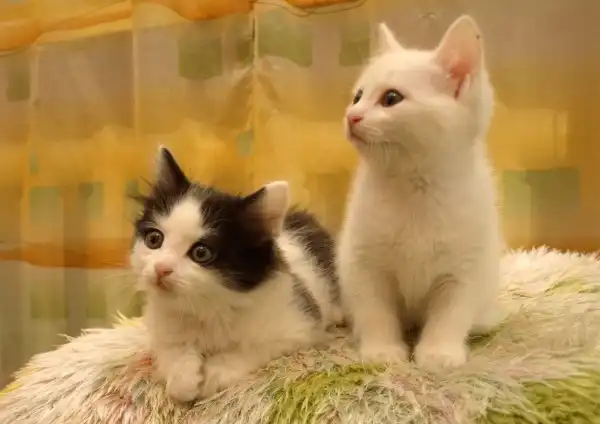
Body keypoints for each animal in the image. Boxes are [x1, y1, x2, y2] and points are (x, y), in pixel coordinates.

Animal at [130, 147, 341, 402]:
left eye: (201, 253)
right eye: (154, 240)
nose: (161, 268)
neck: (206, 307)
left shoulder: (300, 327)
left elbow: (252, 348)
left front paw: (216, 371)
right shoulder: (160, 328)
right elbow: (170, 351)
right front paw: (184, 378)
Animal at [336, 15, 503, 370]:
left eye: (391, 98)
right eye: (358, 96)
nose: (351, 116)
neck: (415, 187)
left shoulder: (466, 268)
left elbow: (451, 315)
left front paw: (439, 352)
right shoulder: (363, 261)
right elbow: (375, 310)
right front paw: (382, 350)